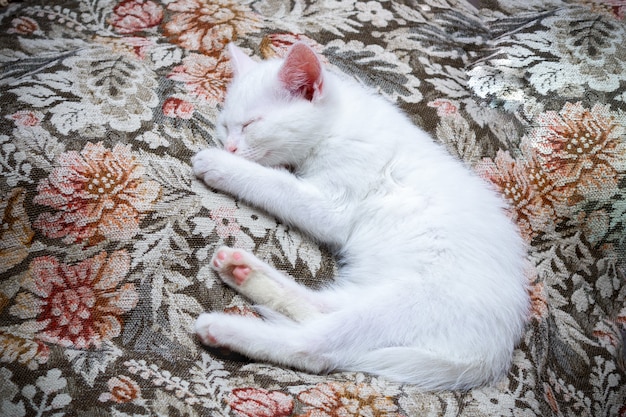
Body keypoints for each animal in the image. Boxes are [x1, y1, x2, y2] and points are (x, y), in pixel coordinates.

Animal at [190, 43, 528, 390]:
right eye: (225, 126)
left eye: (250, 124)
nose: (229, 148)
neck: (336, 123)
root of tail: (491, 357)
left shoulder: (335, 206)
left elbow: (277, 184)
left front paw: (220, 165)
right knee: (322, 308)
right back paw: (242, 271)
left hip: (409, 303)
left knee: (316, 346)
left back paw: (224, 328)